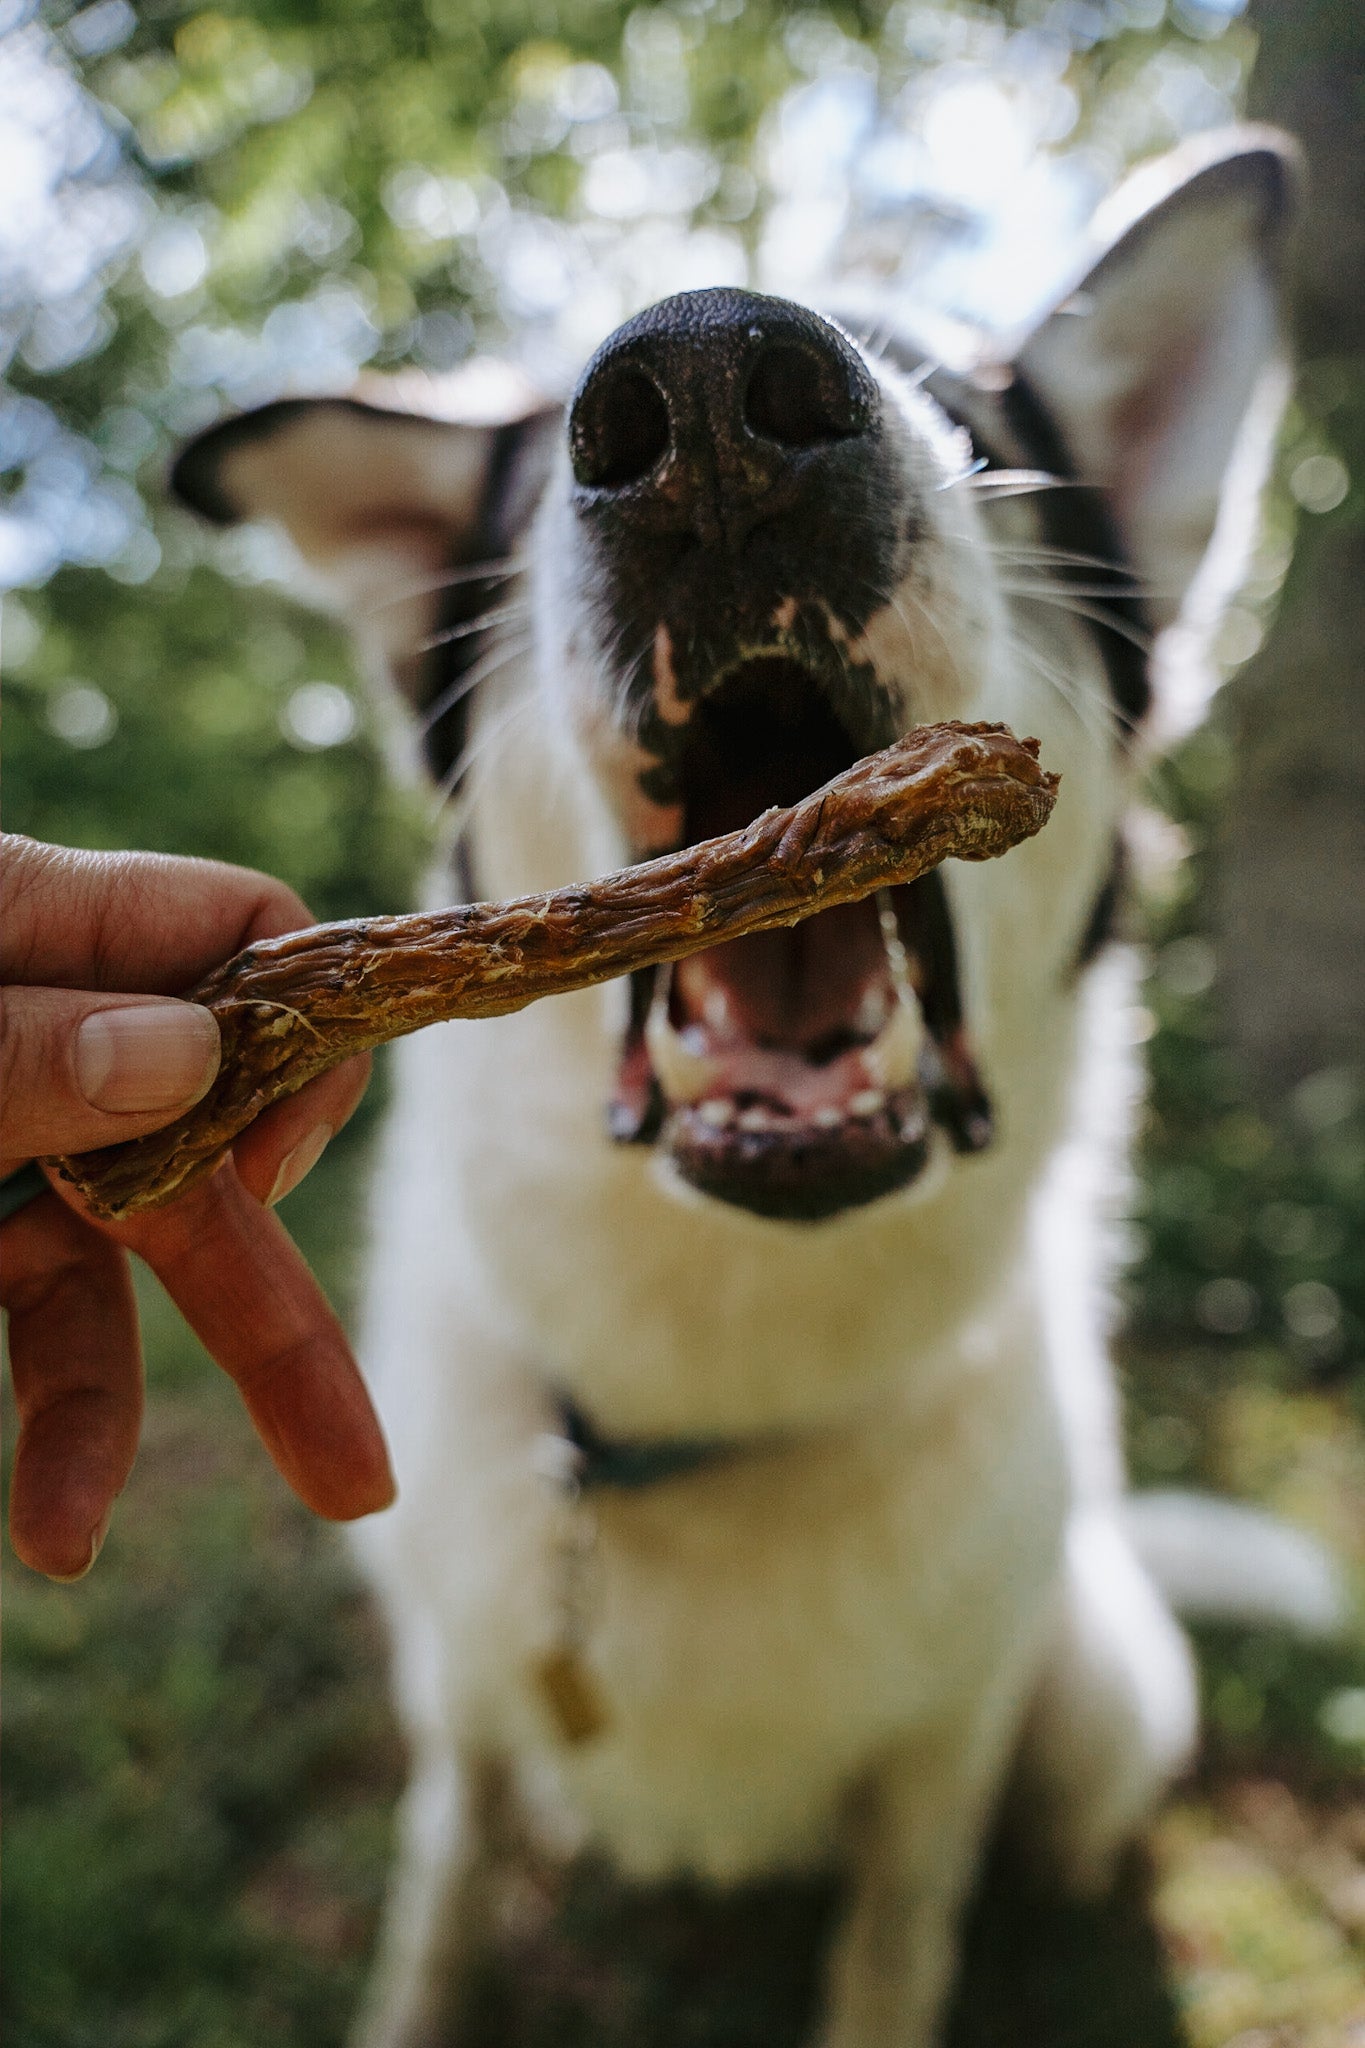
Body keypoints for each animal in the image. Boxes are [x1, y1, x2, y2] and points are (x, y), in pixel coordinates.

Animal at [170, 123, 1334, 2048]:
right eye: (532, 492)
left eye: (973, 424)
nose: (708, 390)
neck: (711, 1370)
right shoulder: (465, 1709)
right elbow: (441, 1907)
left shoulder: (936, 1770)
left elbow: (894, 1943)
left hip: (1092, 1688)